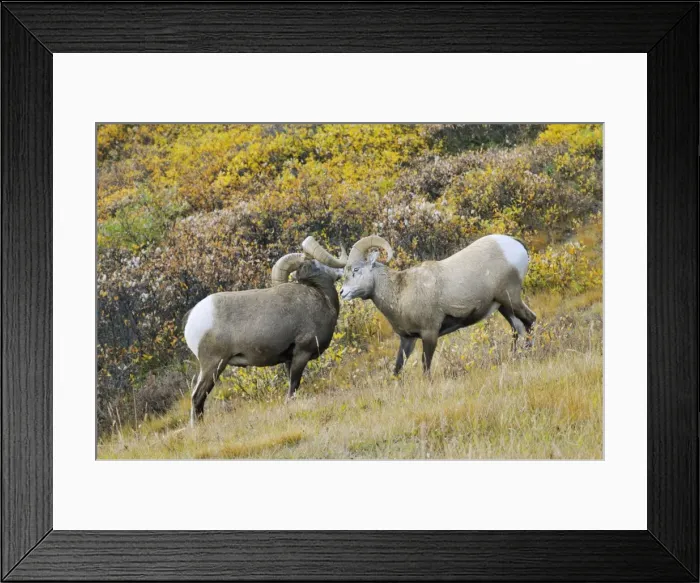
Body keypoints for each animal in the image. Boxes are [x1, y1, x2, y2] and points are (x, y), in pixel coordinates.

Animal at [183, 237, 346, 424]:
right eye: (318, 264)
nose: (340, 272)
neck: (321, 298)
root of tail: (192, 318)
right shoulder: (301, 354)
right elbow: (293, 386)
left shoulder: (288, 359)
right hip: (213, 365)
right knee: (197, 397)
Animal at [317, 235, 536, 375]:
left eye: (356, 269)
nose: (343, 293)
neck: (400, 291)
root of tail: (515, 244)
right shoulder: (407, 339)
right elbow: (397, 369)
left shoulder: (430, 334)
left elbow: (425, 366)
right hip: (503, 306)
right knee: (518, 328)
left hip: (511, 299)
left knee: (530, 320)